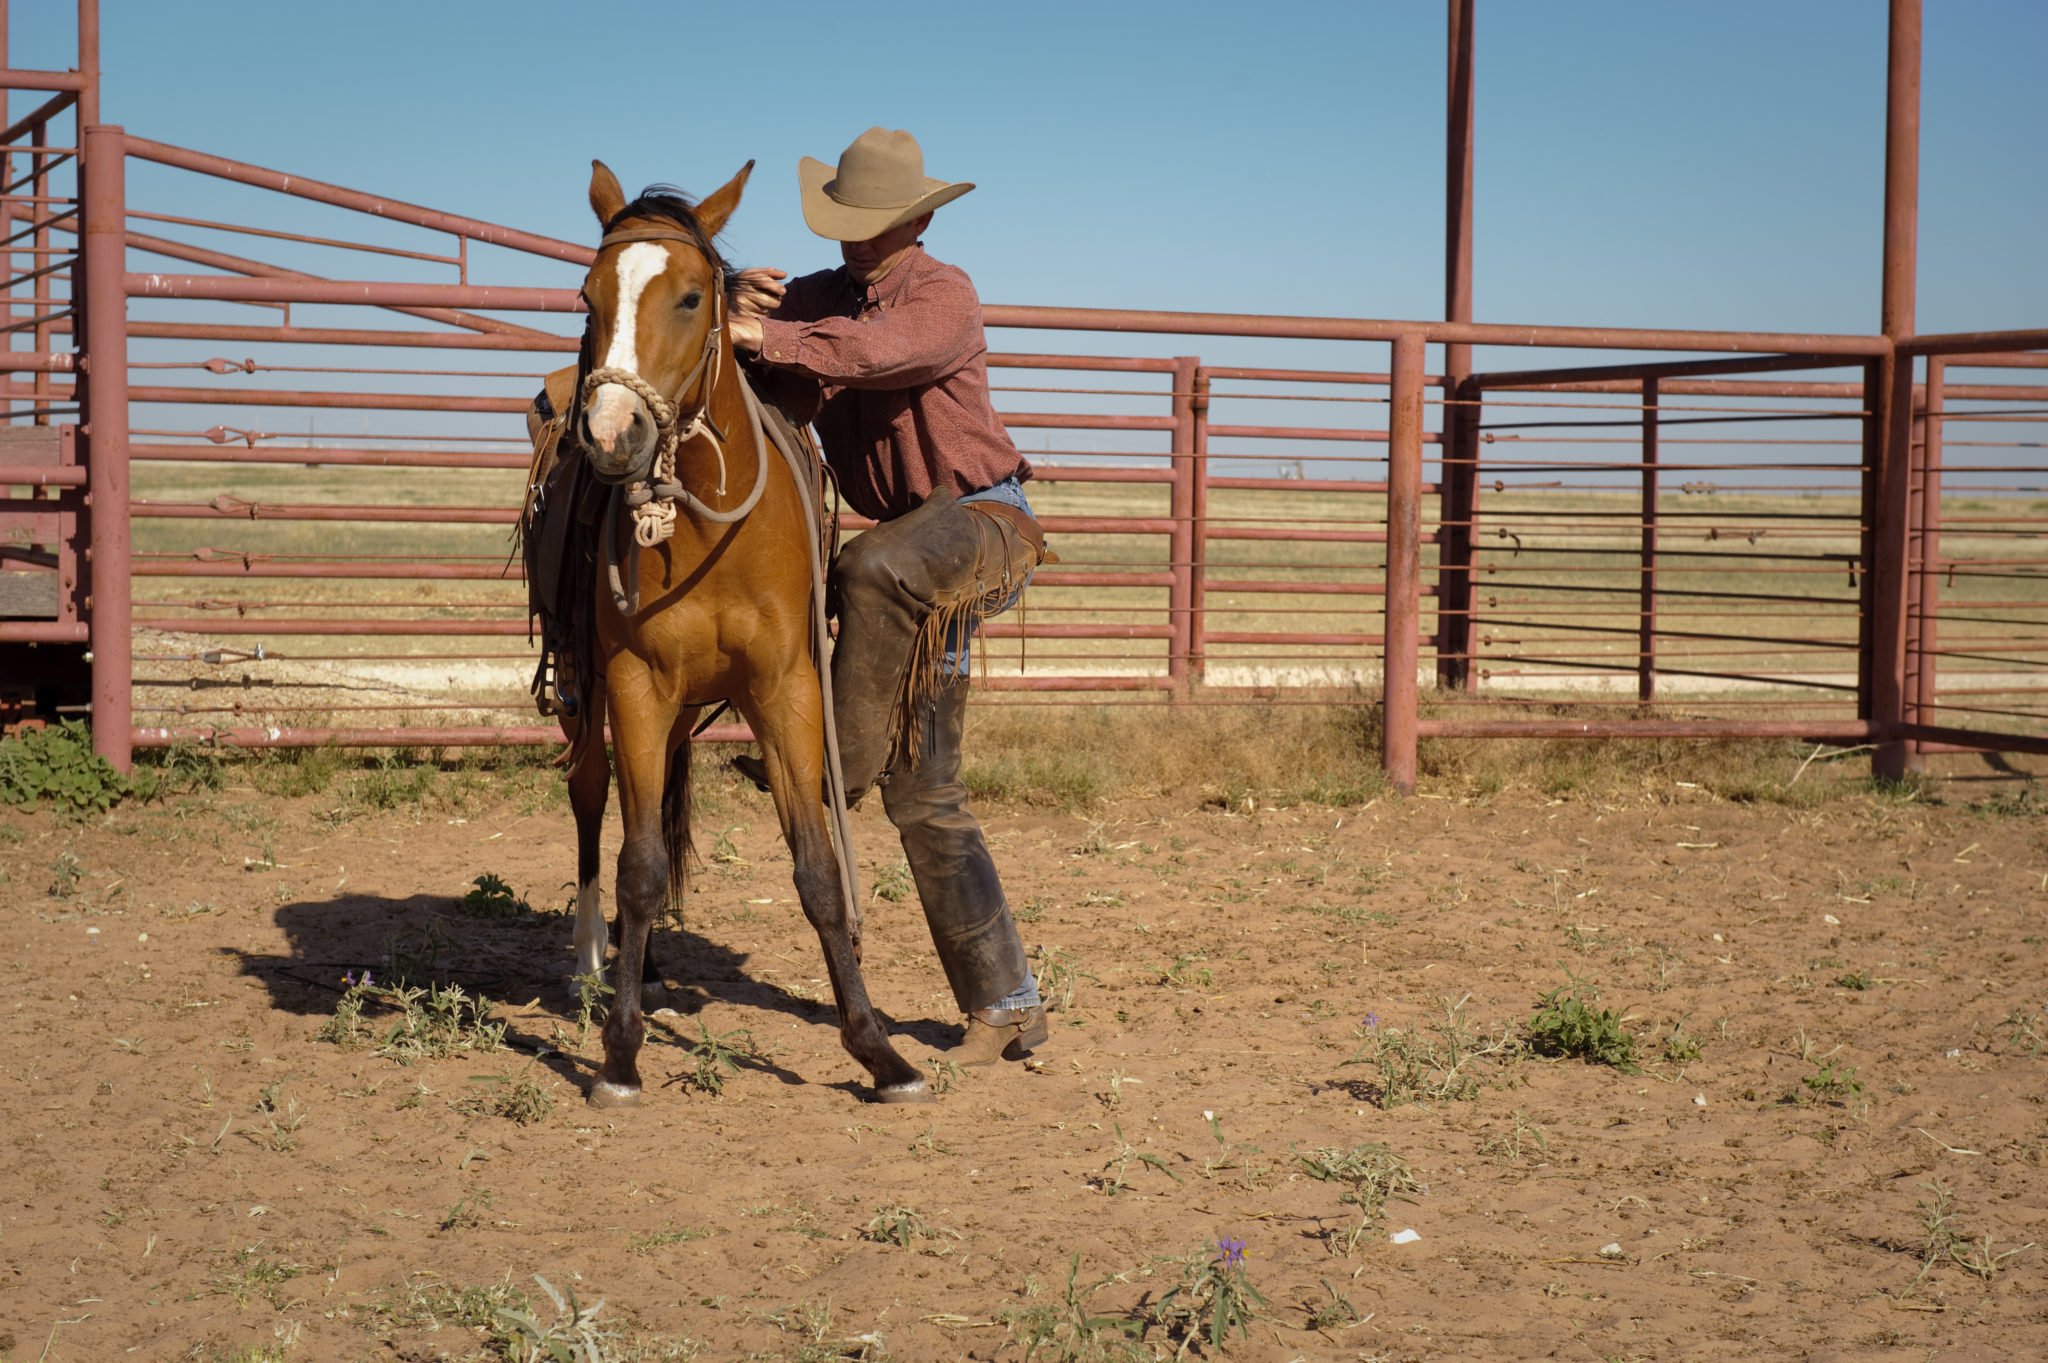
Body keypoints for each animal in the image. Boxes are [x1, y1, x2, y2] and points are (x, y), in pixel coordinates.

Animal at [548, 161, 925, 1105]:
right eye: (586, 296)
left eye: (691, 297)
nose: (611, 435)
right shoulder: (636, 685)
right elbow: (639, 867)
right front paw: (619, 1055)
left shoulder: (786, 688)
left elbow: (819, 868)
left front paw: (878, 1050)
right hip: (588, 695)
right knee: (591, 800)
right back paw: (593, 965)